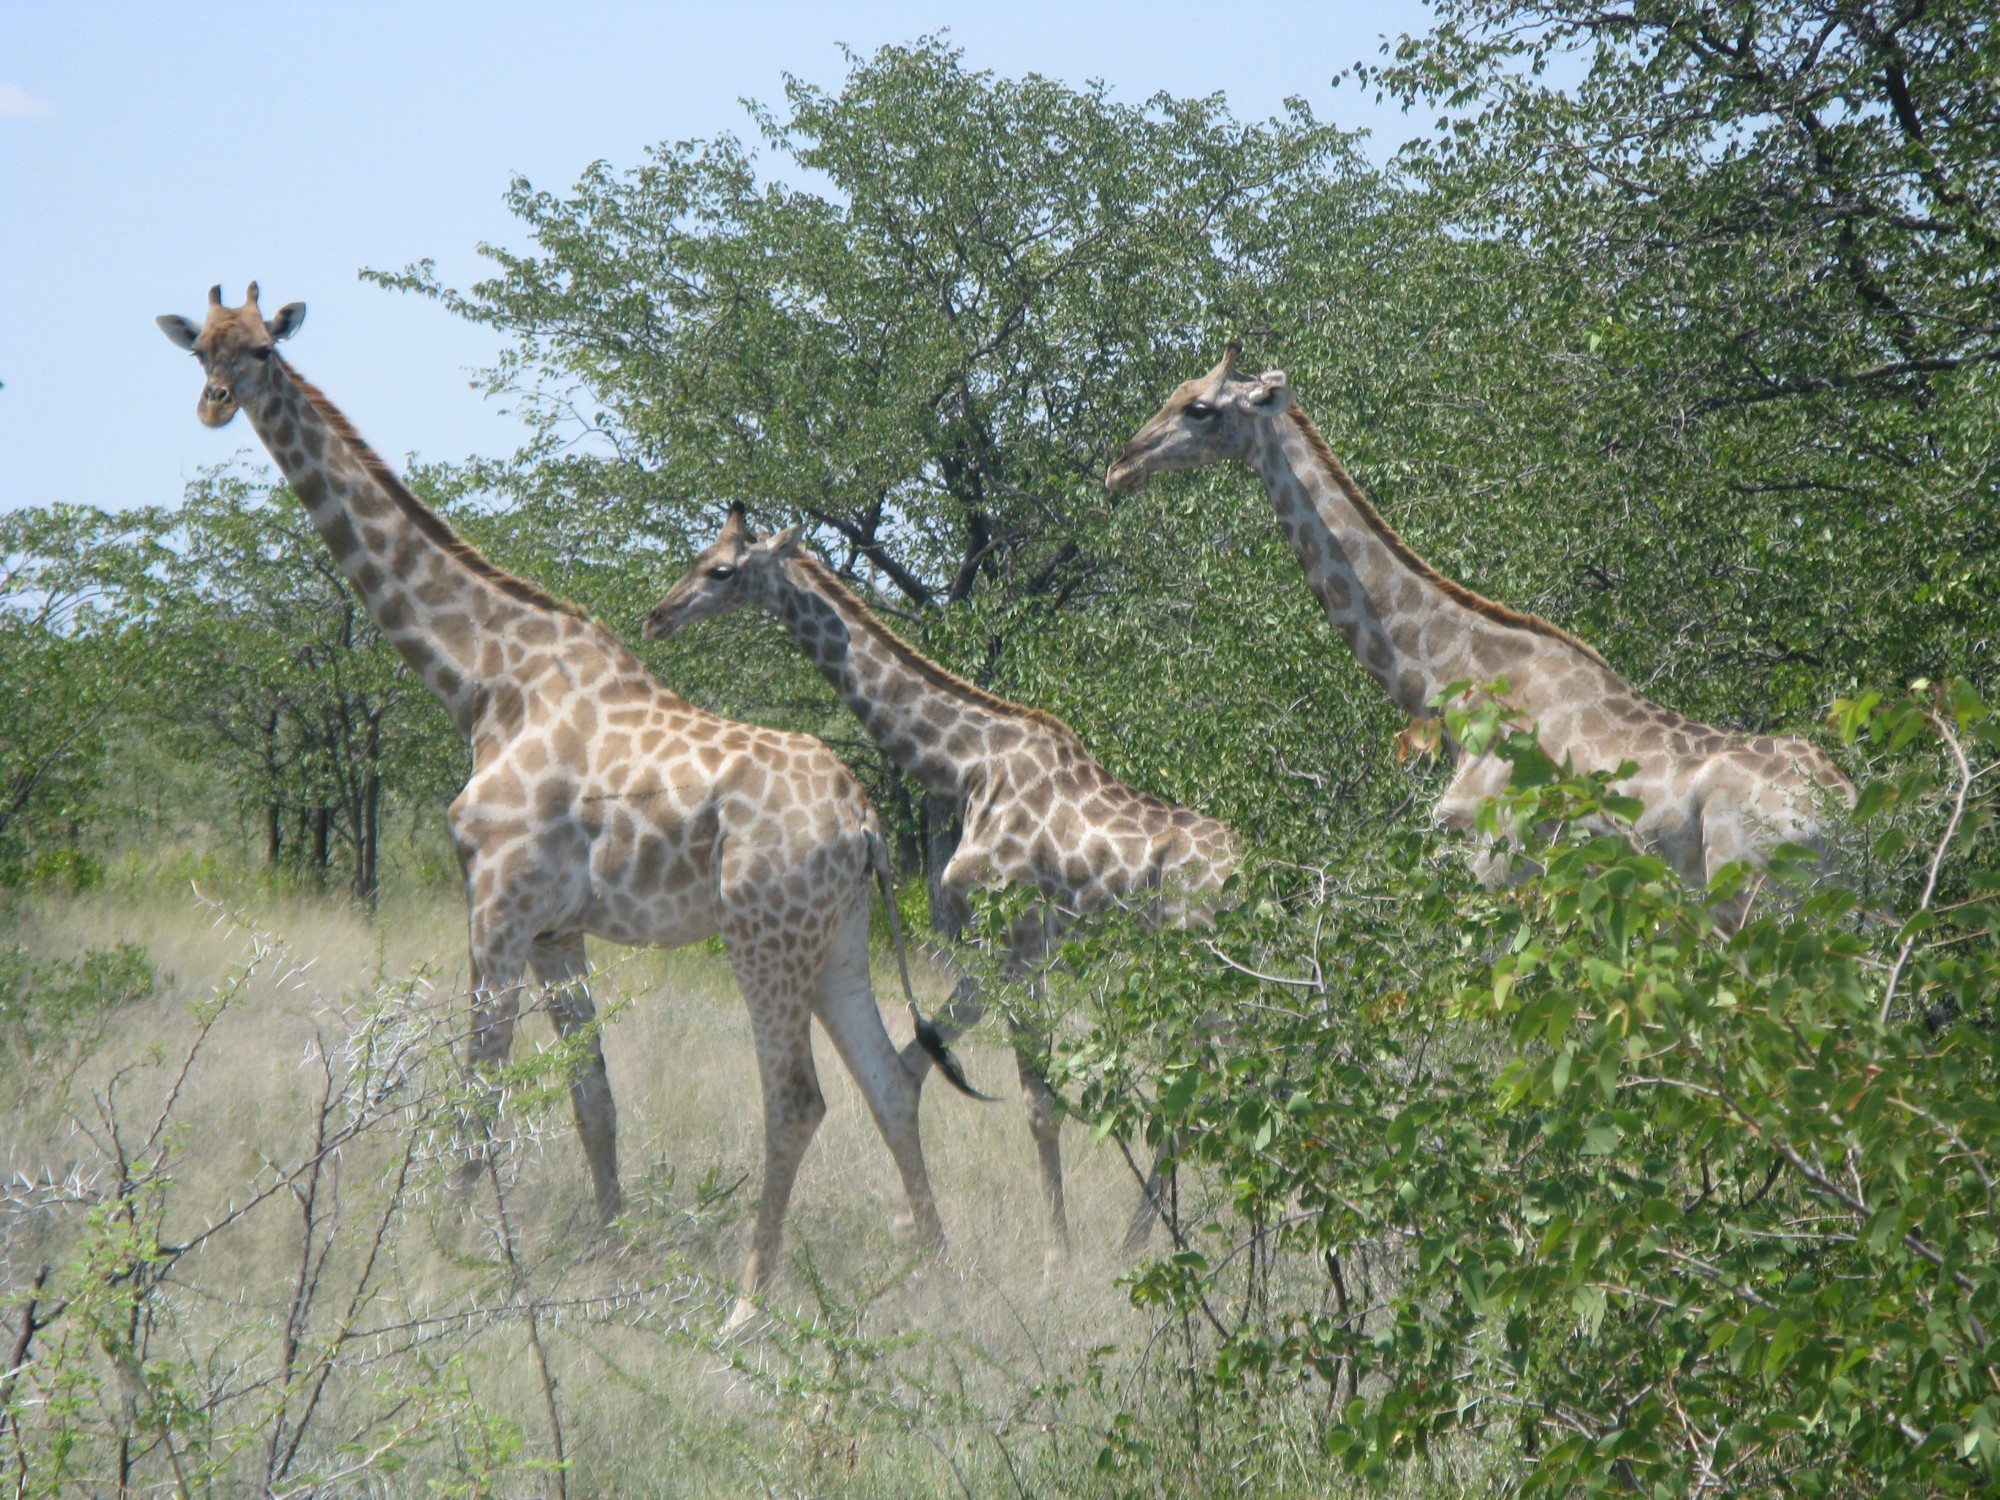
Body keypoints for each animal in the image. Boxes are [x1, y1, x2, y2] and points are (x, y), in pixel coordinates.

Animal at [1104, 348, 1848, 928]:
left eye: (1200, 408)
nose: (1119, 465)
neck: (1450, 684)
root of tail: (1846, 811)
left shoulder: (1493, 856)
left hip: (1760, 895)